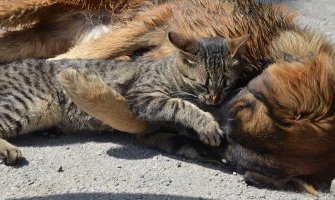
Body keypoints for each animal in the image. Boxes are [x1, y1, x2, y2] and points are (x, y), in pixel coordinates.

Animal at [0, 31, 248, 164]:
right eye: (203, 84)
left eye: (226, 83)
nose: (214, 100)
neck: (171, 73)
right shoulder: (141, 97)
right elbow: (179, 104)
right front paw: (207, 124)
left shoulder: (154, 133)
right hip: (23, 104)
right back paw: (8, 150)